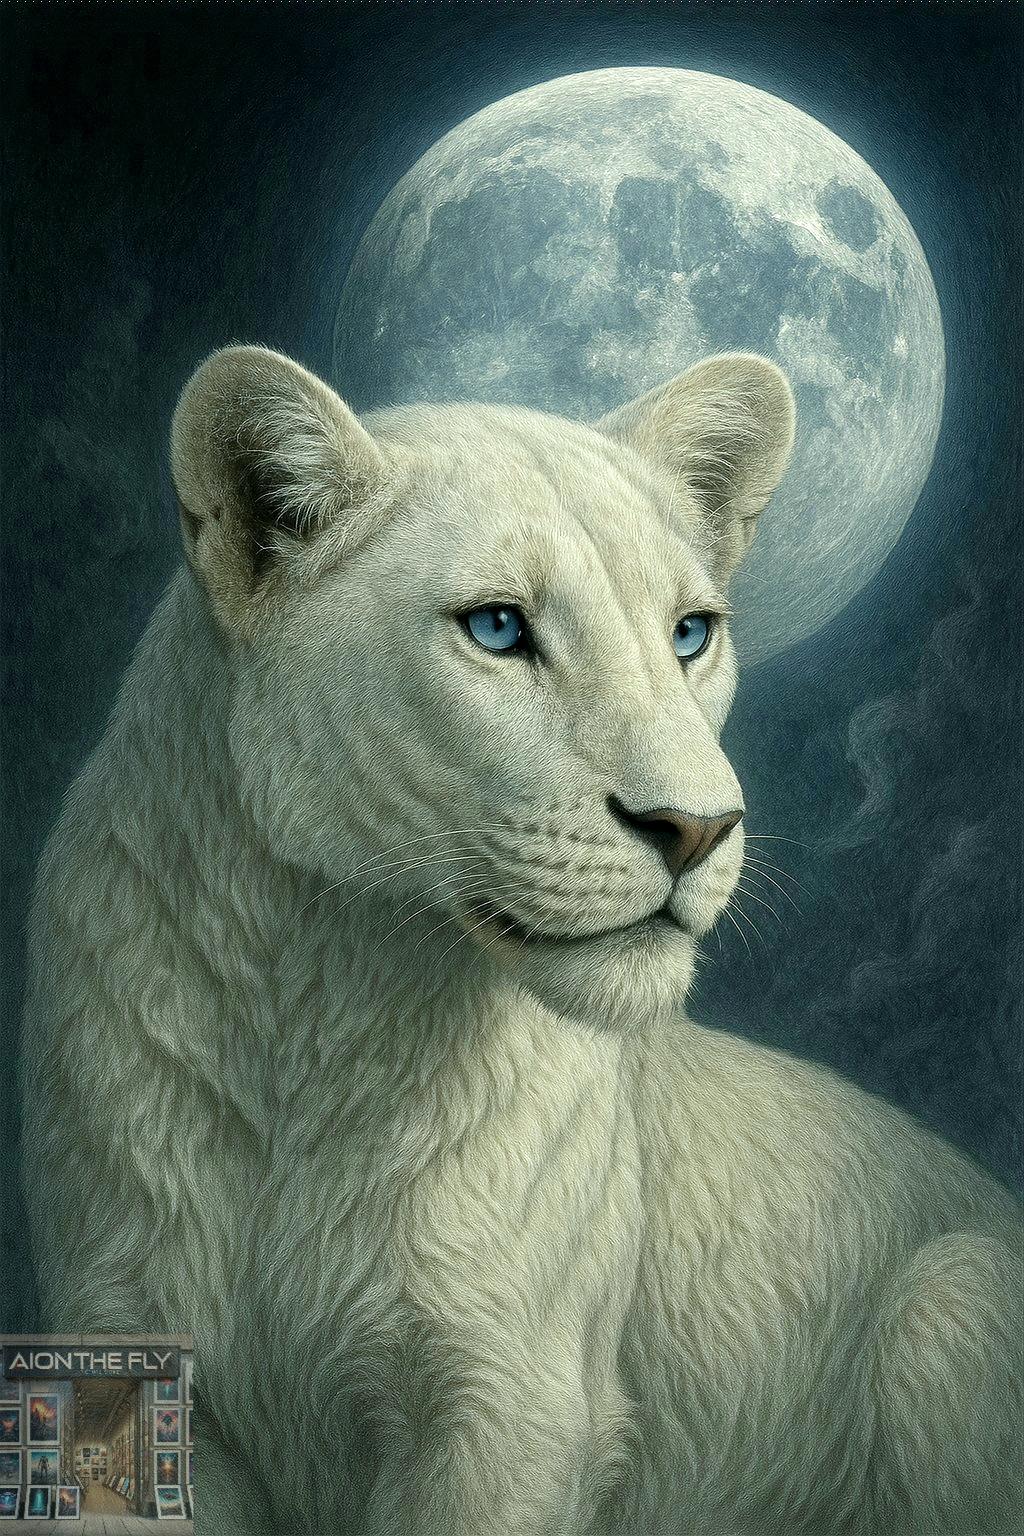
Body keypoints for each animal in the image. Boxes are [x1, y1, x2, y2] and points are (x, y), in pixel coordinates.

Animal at [19, 346, 1023, 1534]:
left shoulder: (509, 1404)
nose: (697, 827)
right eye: (498, 628)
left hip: (950, 1303)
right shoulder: (143, 1366)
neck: (320, 1010)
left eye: (690, 632)